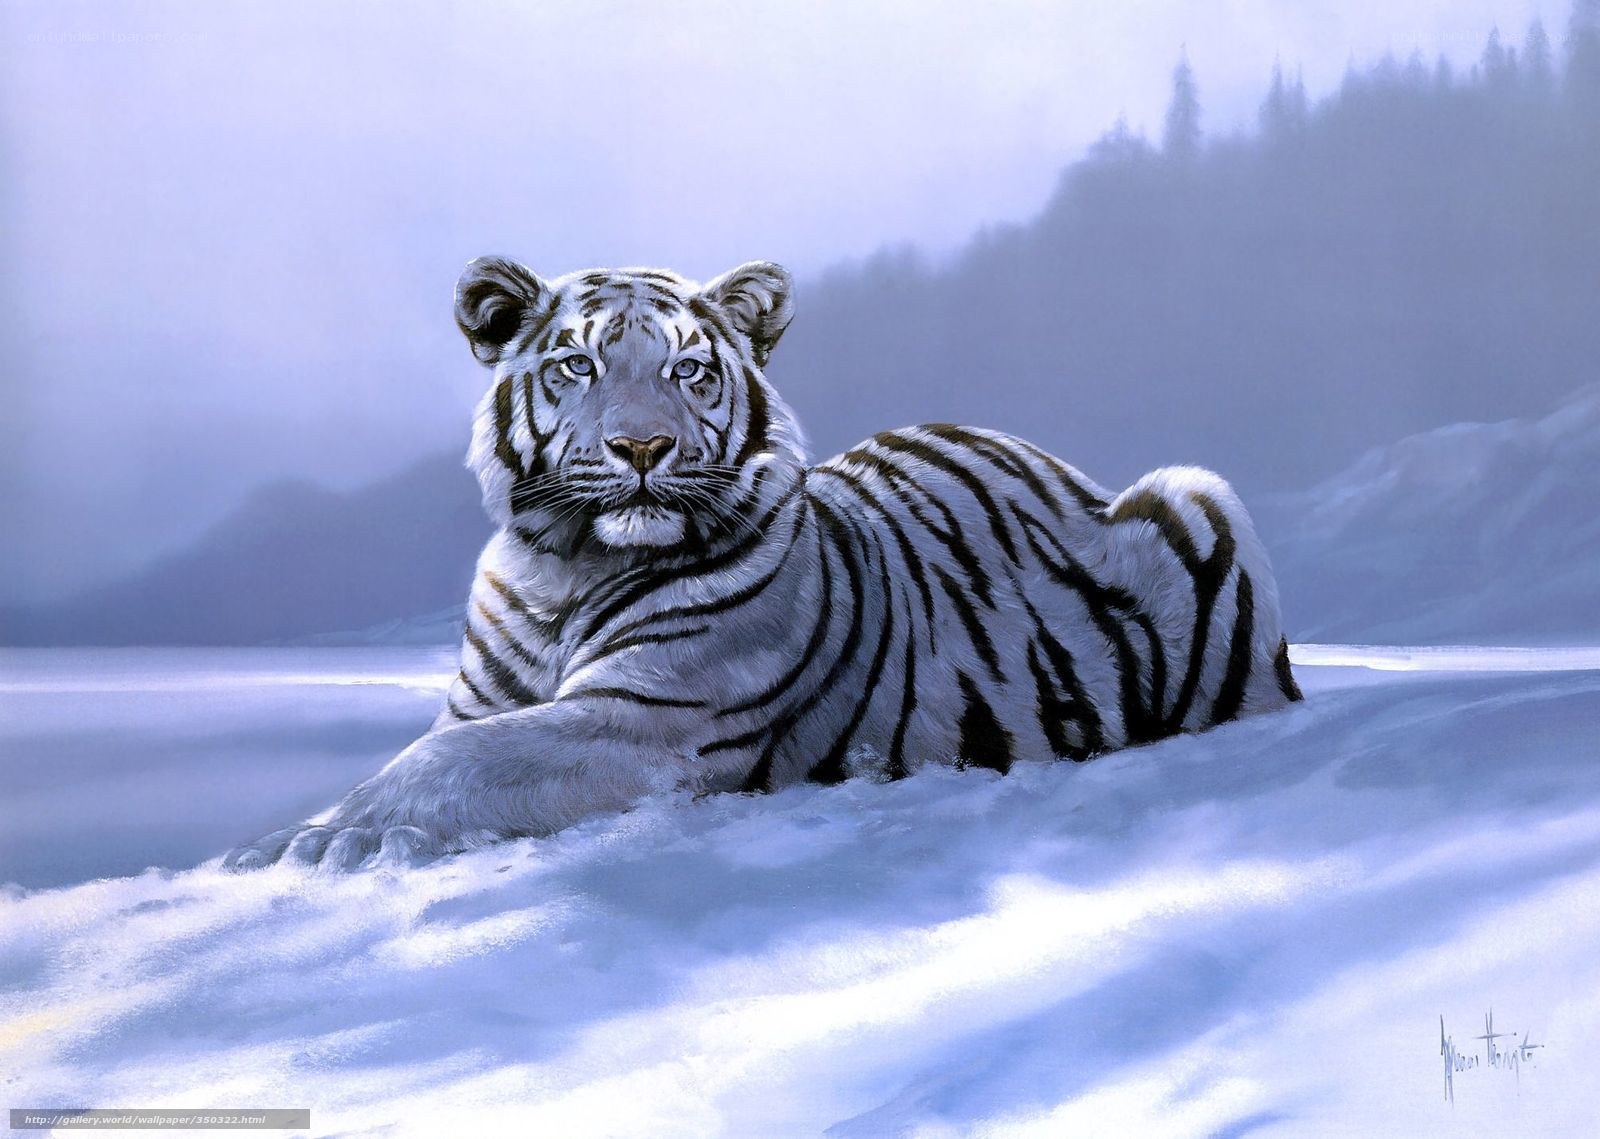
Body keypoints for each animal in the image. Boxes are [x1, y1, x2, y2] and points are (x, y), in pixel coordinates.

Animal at [224, 256, 1303, 872]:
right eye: (577, 365)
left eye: (688, 369)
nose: (642, 447)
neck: (563, 569)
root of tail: (1060, 462)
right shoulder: (486, 699)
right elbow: (441, 745)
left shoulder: (646, 716)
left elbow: (449, 760)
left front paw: (314, 839)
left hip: (1199, 493)